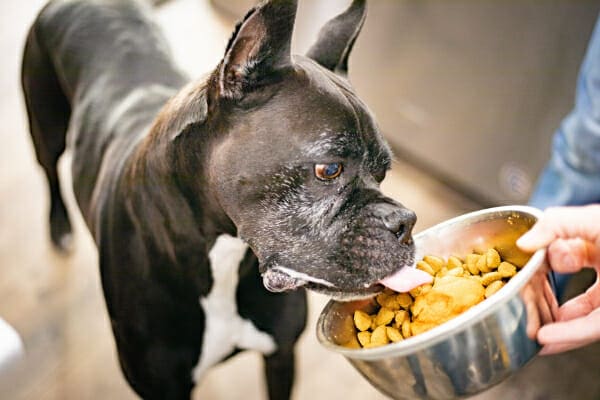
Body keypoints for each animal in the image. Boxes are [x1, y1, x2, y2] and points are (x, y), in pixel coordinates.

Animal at [22, 0, 418, 396]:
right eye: (329, 169)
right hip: (46, 130)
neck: (223, 253)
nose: (406, 223)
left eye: (383, 172)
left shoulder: (281, 356)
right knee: (49, 172)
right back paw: (59, 228)